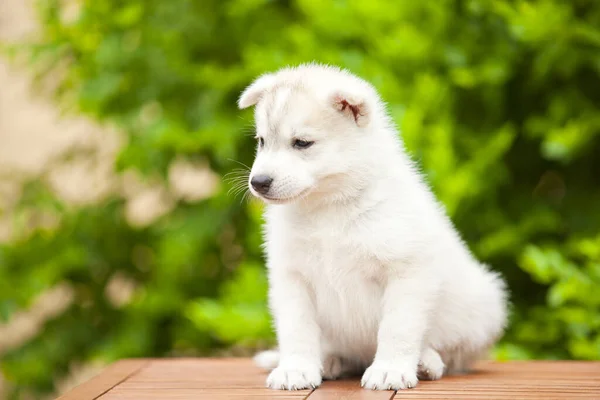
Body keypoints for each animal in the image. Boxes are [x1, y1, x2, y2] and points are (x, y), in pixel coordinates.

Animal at [238, 64, 506, 390]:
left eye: (302, 143)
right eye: (261, 141)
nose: (258, 182)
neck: (329, 208)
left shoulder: (406, 271)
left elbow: (397, 328)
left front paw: (390, 369)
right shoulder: (292, 277)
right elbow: (296, 329)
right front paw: (296, 368)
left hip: (483, 304)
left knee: (453, 355)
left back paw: (426, 361)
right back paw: (331, 361)